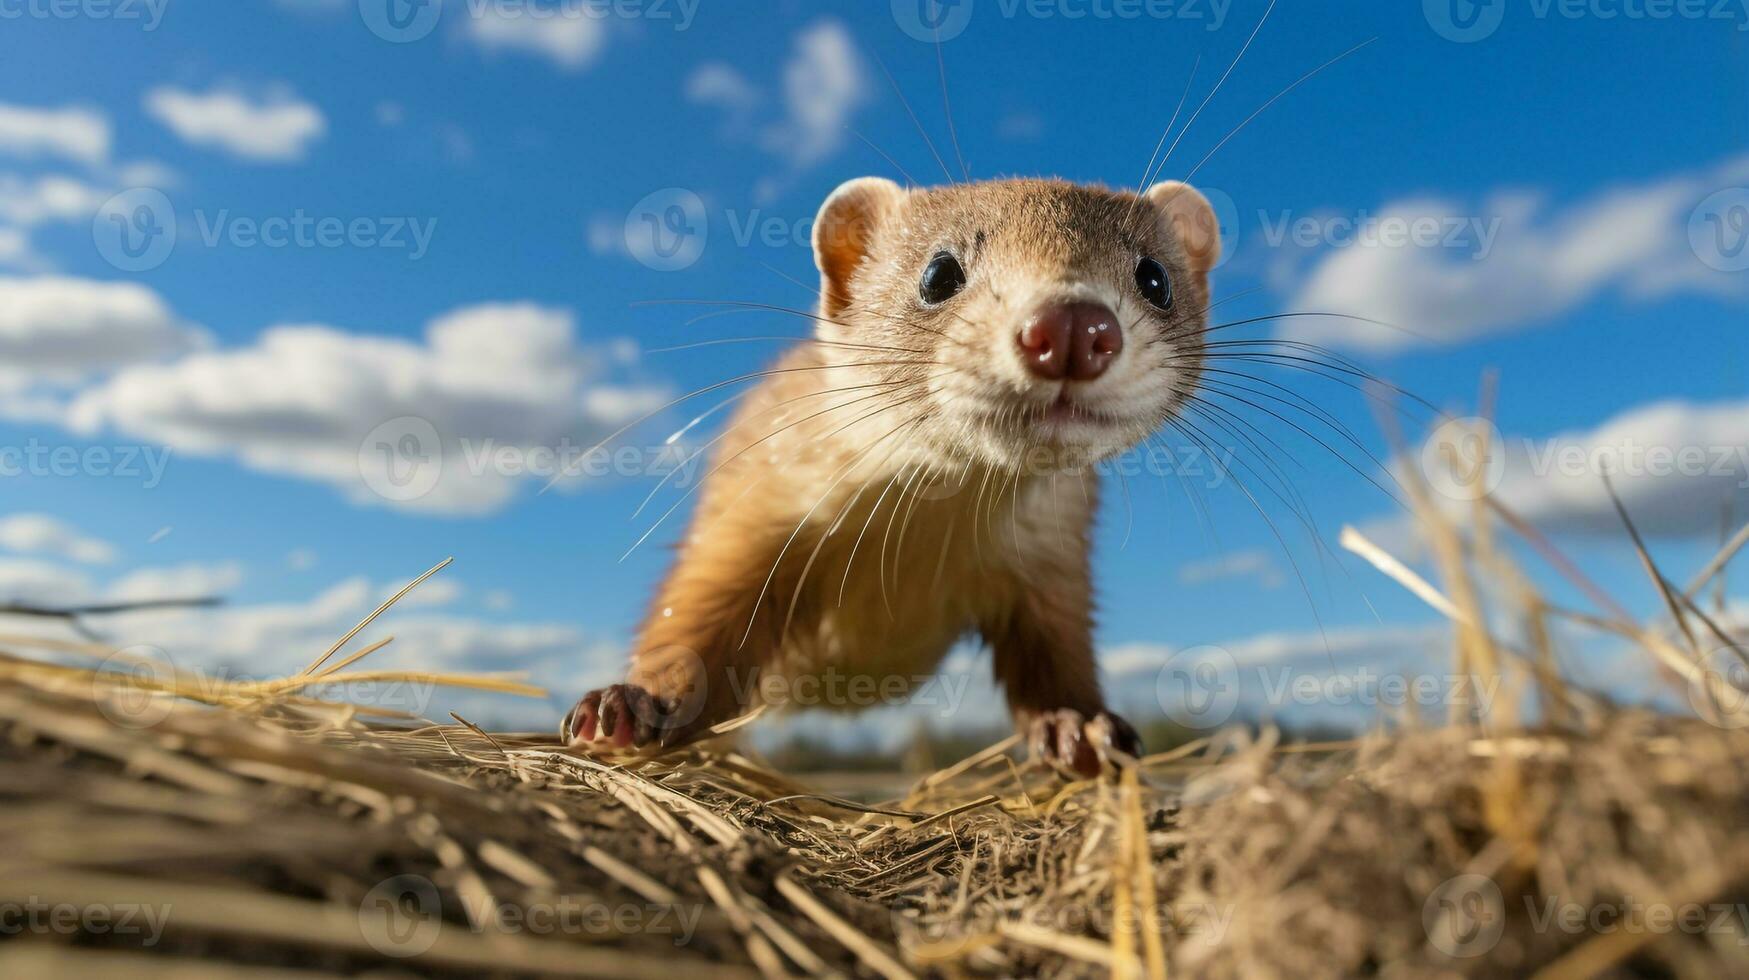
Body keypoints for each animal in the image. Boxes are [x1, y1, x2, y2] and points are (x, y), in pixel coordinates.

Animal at [566, 174, 1224, 773]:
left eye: (1154, 277)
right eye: (938, 273)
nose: (1073, 326)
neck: (914, 551)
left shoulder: (1054, 569)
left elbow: (1058, 662)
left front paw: (1080, 727)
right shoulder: (747, 523)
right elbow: (693, 624)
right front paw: (630, 702)